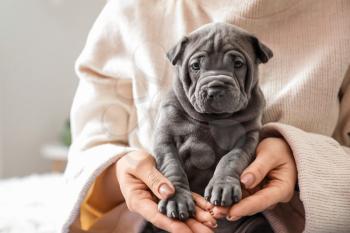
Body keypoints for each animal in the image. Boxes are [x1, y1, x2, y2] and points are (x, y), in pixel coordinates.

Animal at [151, 22, 274, 232]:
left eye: (238, 64)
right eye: (195, 66)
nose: (215, 88)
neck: (213, 119)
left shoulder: (247, 137)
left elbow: (231, 158)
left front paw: (222, 186)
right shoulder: (165, 138)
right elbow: (172, 165)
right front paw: (176, 199)